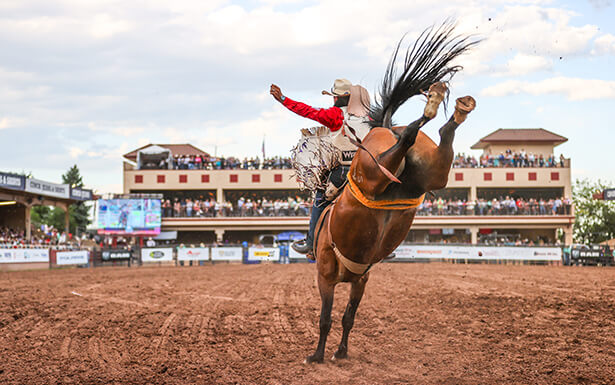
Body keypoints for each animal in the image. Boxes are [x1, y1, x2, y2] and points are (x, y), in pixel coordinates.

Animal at [306, 24, 478, 364]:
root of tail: (386, 127)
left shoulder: (326, 276)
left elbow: (328, 318)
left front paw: (319, 355)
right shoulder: (361, 279)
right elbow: (348, 317)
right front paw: (341, 352)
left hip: (373, 173)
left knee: (408, 137)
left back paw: (433, 106)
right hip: (431, 174)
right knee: (434, 136)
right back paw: (446, 106)